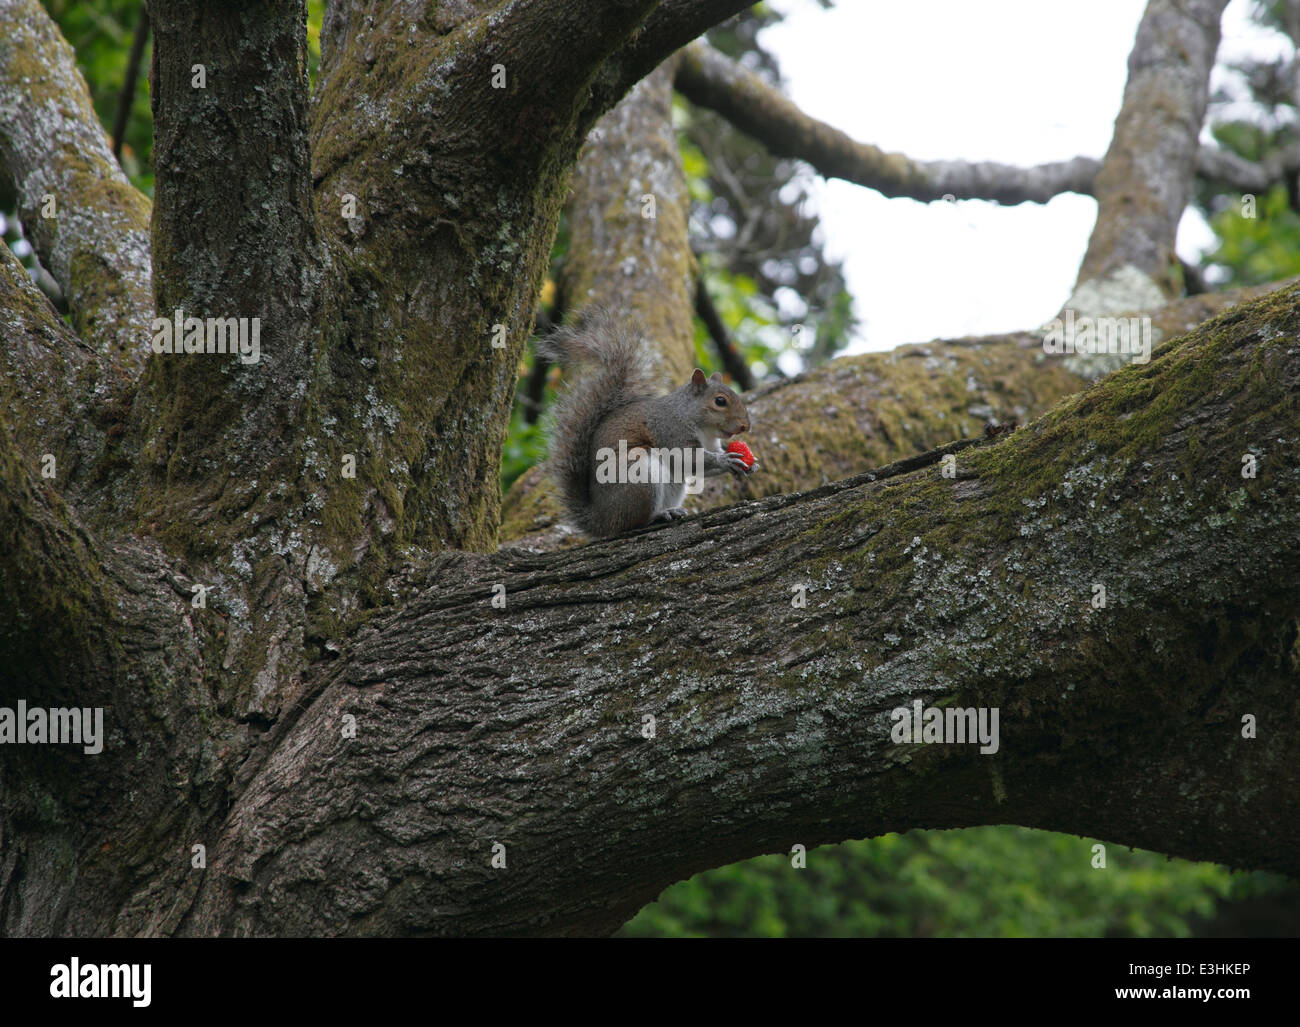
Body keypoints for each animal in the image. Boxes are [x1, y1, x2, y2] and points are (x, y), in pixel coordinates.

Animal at [535, 310, 758, 538]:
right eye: (720, 401)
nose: (745, 426)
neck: (703, 427)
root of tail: (601, 521)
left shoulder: (711, 443)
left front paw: (749, 464)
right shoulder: (669, 428)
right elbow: (688, 458)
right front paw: (726, 461)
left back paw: (672, 511)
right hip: (638, 477)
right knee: (632, 523)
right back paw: (657, 516)